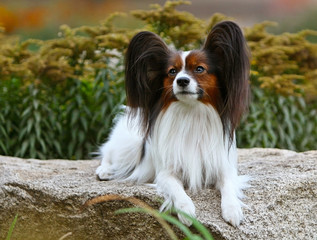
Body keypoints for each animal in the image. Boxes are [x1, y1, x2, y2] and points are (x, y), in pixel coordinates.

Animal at [95, 21, 249, 227]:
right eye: (172, 72)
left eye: (199, 69)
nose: (181, 81)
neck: (191, 112)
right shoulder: (165, 173)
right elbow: (177, 190)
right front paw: (186, 210)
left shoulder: (223, 167)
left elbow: (229, 186)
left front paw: (232, 209)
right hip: (130, 145)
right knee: (109, 152)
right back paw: (105, 170)